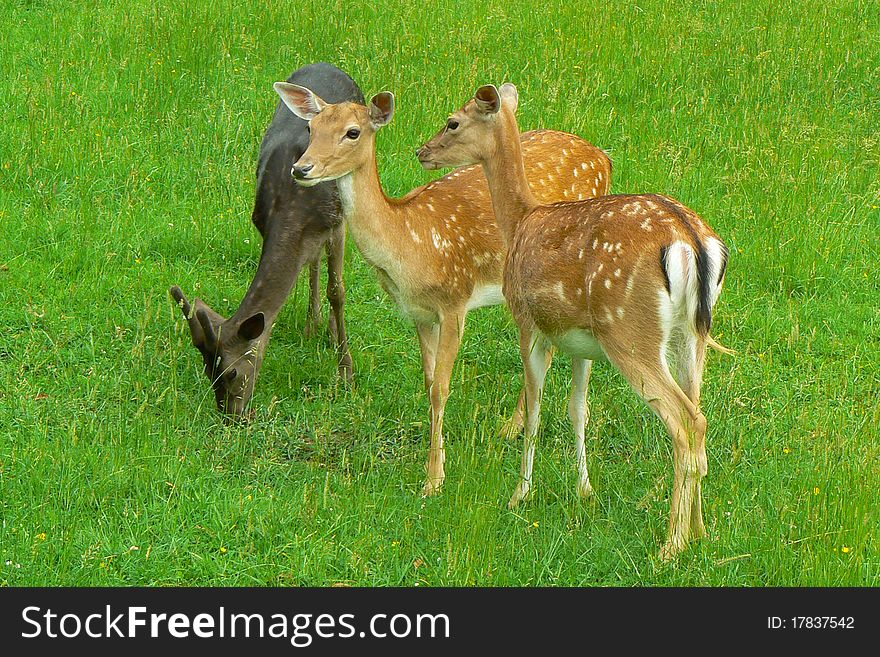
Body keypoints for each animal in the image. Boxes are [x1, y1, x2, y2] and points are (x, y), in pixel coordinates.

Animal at [170, 64, 362, 418]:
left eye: (231, 372)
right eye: (207, 370)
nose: (231, 417)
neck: (294, 209)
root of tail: (326, 64)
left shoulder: (337, 220)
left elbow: (338, 291)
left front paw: (346, 371)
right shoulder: (262, 221)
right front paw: (314, 327)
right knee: (313, 262)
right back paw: (312, 324)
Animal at [276, 80, 612, 492]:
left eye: (352, 132)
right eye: (310, 128)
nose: (300, 168)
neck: (409, 243)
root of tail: (604, 158)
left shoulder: (454, 300)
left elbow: (441, 386)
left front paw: (434, 478)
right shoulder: (419, 314)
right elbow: (427, 380)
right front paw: (435, 461)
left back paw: (511, 428)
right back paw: (512, 427)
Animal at [418, 83, 728, 560]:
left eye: (453, 121)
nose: (422, 150)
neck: (520, 222)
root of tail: (689, 240)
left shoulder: (529, 323)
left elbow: (534, 412)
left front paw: (520, 494)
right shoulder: (583, 345)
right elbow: (577, 409)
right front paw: (584, 490)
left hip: (630, 331)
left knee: (685, 423)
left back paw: (670, 546)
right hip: (691, 337)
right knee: (700, 418)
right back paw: (698, 532)